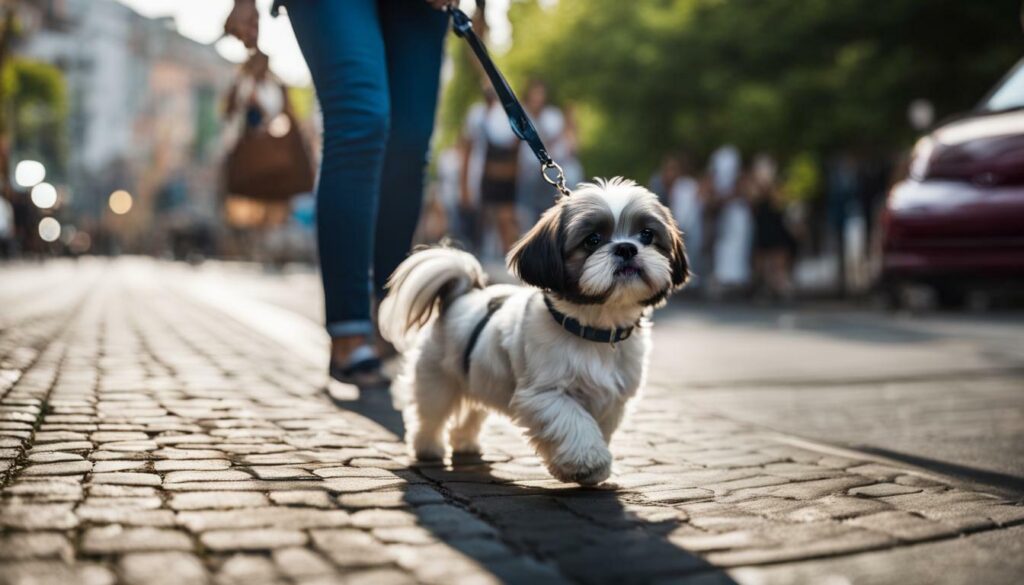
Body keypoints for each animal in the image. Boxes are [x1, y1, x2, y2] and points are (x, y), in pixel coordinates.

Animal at [380, 177, 692, 485]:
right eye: (592, 240)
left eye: (647, 235)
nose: (627, 247)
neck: (593, 329)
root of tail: (461, 294)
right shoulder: (545, 395)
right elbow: (575, 423)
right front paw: (588, 462)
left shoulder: (612, 399)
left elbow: (599, 427)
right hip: (437, 382)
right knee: (429, 415)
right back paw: (428, 449)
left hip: (478, 378)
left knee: (470, 414)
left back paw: (466, 445)